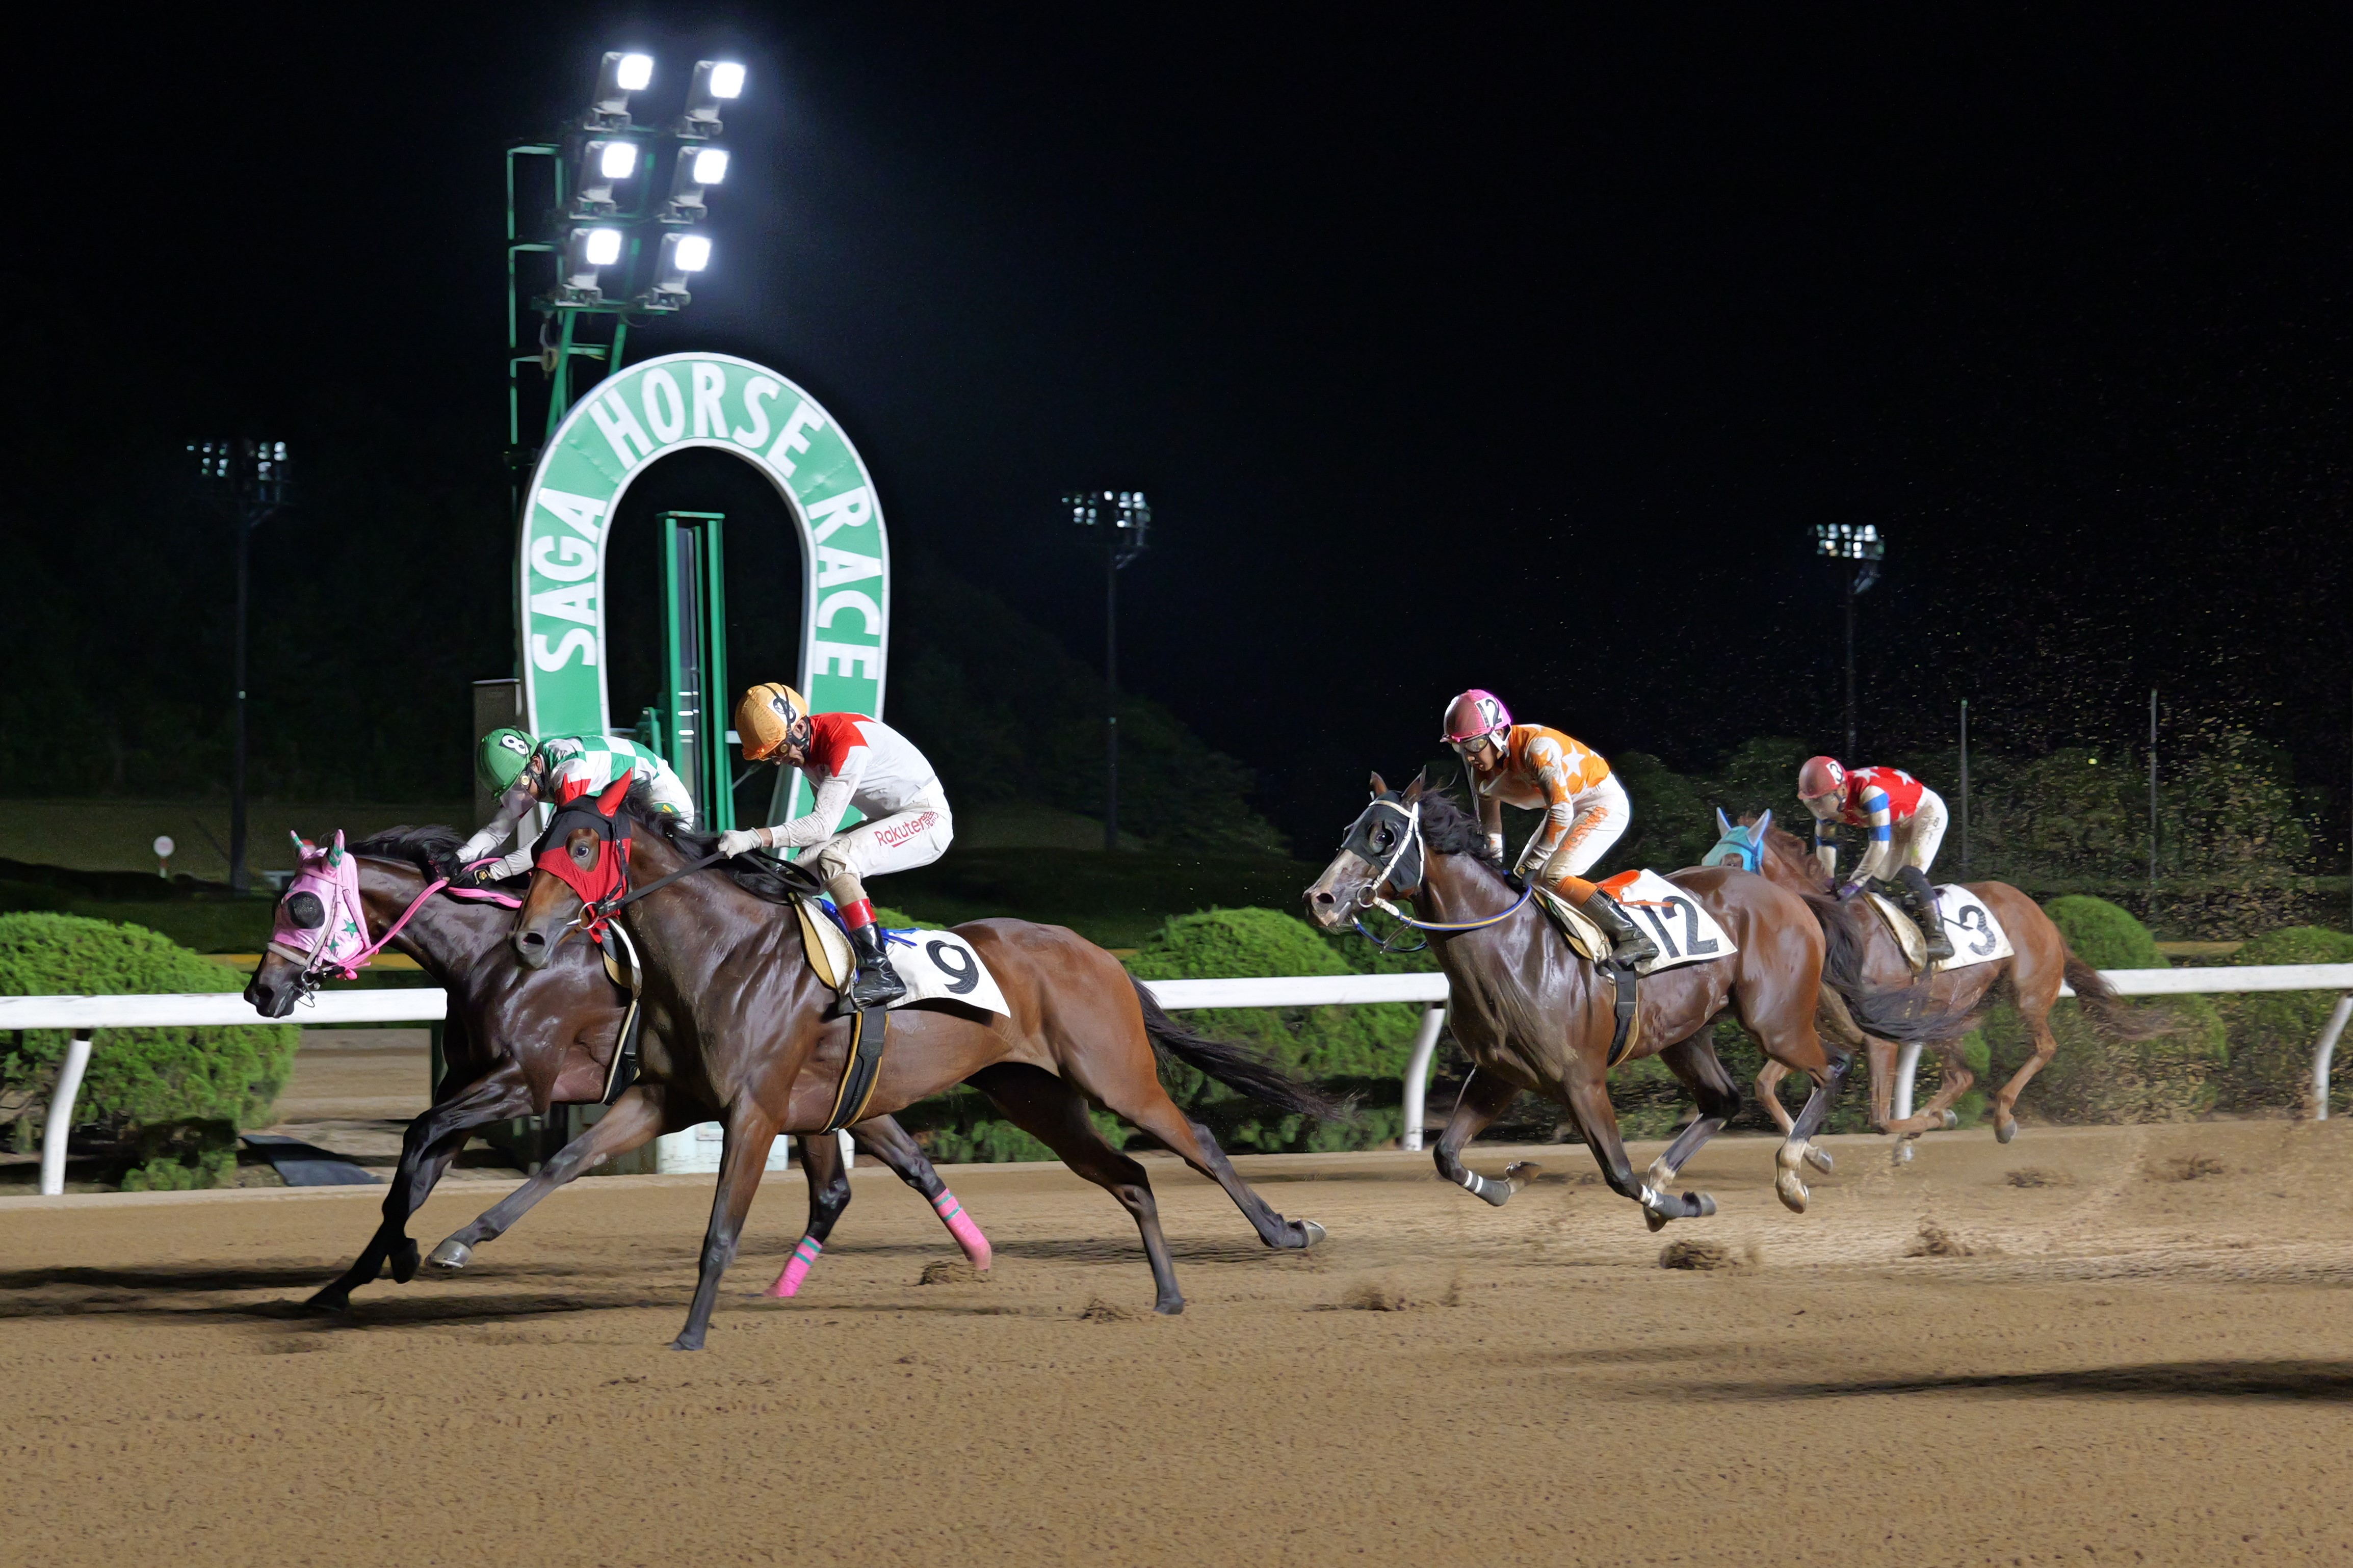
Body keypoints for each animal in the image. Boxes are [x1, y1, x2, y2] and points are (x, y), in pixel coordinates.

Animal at [243, 826, 989, 1313]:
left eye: (303, 905)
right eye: (281, 902)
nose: (260, 991)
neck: (488, 954)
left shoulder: (523, 1083)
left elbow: (418, 1137)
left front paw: (402, 1256)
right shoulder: (470, 1082)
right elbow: (415, 1171)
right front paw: (340, 1285)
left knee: (853, 1180)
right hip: (837, 1094)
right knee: (888, 1169)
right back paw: (969, 1257)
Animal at [504, 776, 1337, 1349]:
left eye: (582, 848)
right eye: (538, 847)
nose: (530, 939)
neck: (722, 954)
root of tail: (1098, 953)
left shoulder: (756, 1110)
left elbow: (720, 1232)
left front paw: (690, 1333)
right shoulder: (665, 1098)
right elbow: (563, 1164)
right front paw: (473, 1238)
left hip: (1116, 1077)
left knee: (1199, 1142)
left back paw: (1287, 1233)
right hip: (1035, 1096)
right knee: (1130, 1177)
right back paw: (1166, 1295)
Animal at [1305, 773, 1913, 1228]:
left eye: (1384, 835)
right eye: (1350, 829)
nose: (1321, 898)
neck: (1506, 947)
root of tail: (1793, 898)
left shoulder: (1581, 1079)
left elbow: (1619, 1175)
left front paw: (1685, 1204)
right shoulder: (1498, 1073)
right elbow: (1445, 1155)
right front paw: (1510, 1181)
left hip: (1776, 1021)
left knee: (1832, 1066)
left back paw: (1791, 1171)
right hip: (1685, 1035)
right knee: (1722, 1100)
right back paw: (1680, 1172)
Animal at [1700, 811, 2169, 1142]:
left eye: (1732, 860)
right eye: (1707, 859)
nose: (1703, 897)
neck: (1837, 932)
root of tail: (2041, 913)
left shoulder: (1881, 1038)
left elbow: (1879, 1117)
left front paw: (1928, 1121)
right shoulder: (1821, 1031)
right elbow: (1764, 1085)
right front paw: (1816, 1156)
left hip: (2027, 994)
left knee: (2044, 1047)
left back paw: (2000, 1115)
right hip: (1949, 1014)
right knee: (1962, 1076)